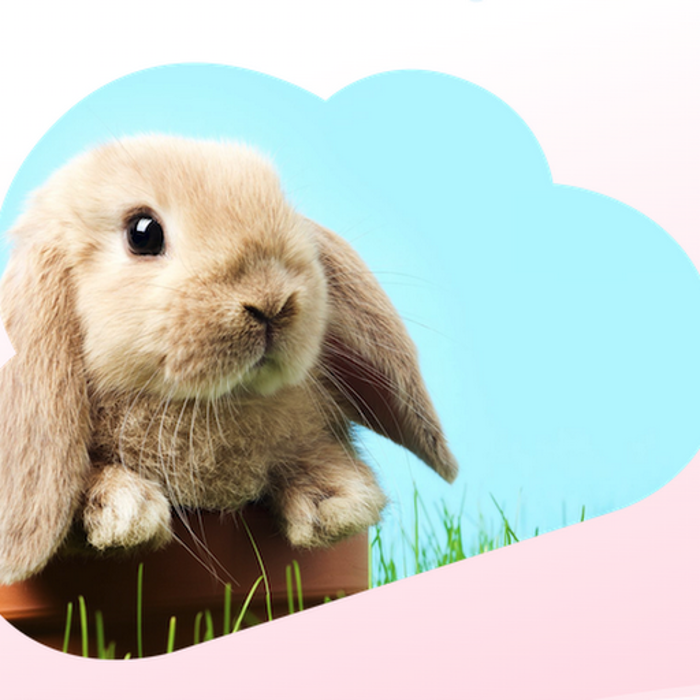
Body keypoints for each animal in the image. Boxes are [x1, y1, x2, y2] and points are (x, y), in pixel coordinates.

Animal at [0, 135, 458, 585]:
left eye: (282, 206)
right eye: (142, 233)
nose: (272, 301)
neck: (213, 404)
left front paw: (335, 503)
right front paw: (126, 512)